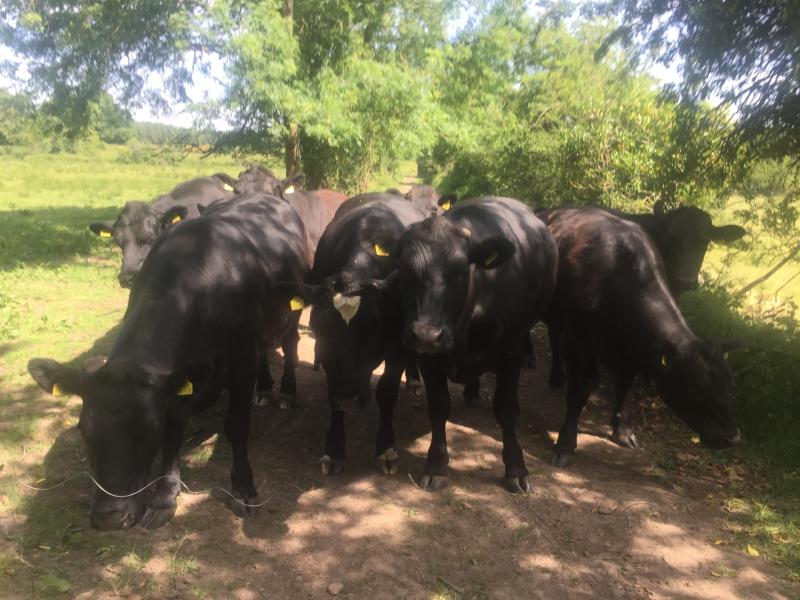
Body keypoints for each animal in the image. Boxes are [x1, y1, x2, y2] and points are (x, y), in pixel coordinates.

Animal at [30, 193, 310, 530]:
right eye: (84, 429)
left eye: (149, 429)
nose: (110, 516)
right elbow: (175, 427)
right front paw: (165, 495)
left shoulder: (242, 363)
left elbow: (237, 426)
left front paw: (243, 488)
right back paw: (265, 387)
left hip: (292, 312)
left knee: (289, 344)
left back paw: (286, 392)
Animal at [279, 192, 428, 475]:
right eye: (319, 329)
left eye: (373, 332)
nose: (347, 397)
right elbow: (331, 397)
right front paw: (335, 449)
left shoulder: (396, 346)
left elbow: (387, 392)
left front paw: (386, 448)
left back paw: (415, 381)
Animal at [386, 197, 558, 493]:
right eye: (406, 272)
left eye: (458, 272)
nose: (427, 334)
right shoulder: (428, 358)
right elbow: (439, 407)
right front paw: (436, 465)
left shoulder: (510, 352)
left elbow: (505, 409)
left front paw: (516, 468)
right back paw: (472, 390)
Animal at [539, 207, 740, 466]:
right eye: (696, 384)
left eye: (729, 382)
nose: (732, 437)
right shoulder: (577, 338)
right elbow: (578, 391)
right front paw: (566, 444)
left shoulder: (632, 350)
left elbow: (625, 388)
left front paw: (623, 431)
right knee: (554, 337)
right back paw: (556, 378)